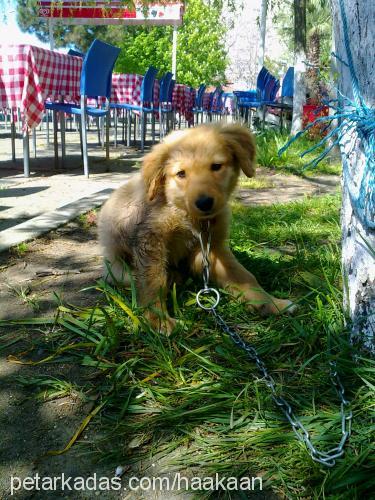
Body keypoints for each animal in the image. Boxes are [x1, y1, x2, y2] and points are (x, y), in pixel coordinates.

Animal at [98, 123, 296, 330]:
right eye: (181, 174)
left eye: (216, 166)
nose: (204, 203)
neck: (187, 215)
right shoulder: (150, 241)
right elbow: (153, 281)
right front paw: (158, 320)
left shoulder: (211, 247)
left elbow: (243, 275)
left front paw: (271, 303)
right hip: (118, 269)